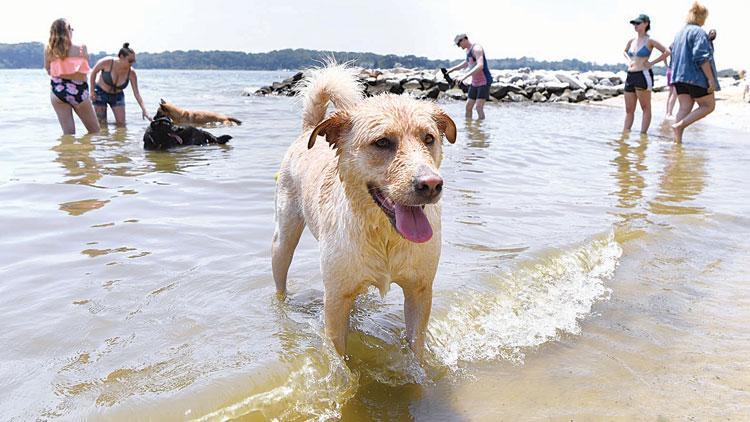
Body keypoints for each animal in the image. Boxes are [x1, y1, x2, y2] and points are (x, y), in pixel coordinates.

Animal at [272, 64, 458, 358]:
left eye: (429, 138)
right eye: (382, 142)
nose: (431, 184)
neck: (385, 236)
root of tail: (309, 129)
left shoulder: (419, 291)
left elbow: (416, 348)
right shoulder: (335, 300)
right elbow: (339, 360)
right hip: (284, 240)